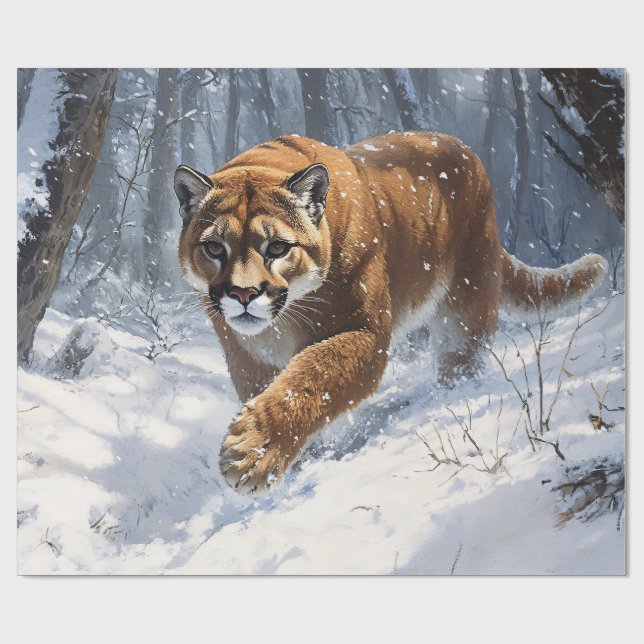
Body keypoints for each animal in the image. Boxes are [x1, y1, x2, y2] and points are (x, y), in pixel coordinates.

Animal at [174, 132, 606, 493]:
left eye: (277, 247)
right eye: (214, 248)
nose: (243, 293)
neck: (282, 323)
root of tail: (461, 146)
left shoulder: (364, 331)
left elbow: (311, 376)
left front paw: (252, 453)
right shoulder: (245, 357)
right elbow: (273, 387)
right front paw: (293, 459)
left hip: (467, 299)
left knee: (461, 356)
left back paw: (449, 398)